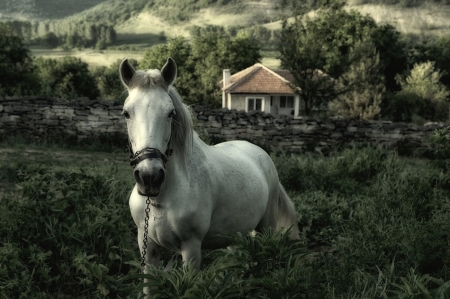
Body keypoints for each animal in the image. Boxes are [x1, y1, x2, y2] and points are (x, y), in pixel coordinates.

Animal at [119, 57, 298, 284]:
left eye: (170, 113)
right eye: (126, 113)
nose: (149, 177)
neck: (162, 200)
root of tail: (261, 154)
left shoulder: (191, 249)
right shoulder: (147, 247)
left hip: (267, 227)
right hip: (237, 235)